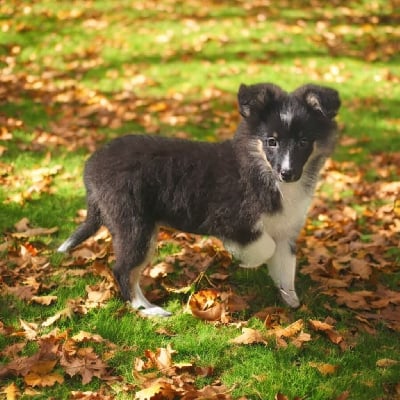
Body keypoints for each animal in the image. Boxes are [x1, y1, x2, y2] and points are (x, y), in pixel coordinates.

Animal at [58, 83, 340, 318]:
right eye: (271, 141)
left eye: (303, 141)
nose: (287, 173)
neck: (262, 171)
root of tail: (91, 167)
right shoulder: (233, 221)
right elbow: (265, 248)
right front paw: (246, 260)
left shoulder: (285, 229)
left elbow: (285, 266)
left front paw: (290, 299)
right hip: (135, 225)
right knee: (124, 270)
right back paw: (148, 309)